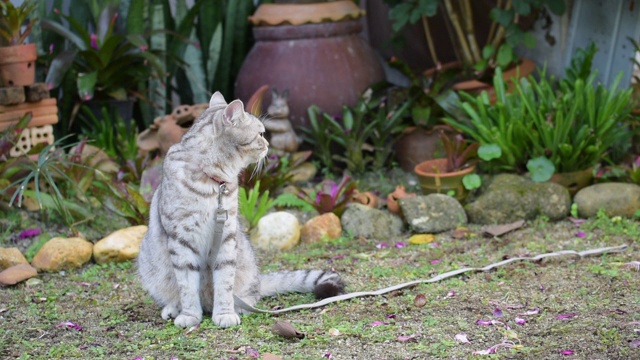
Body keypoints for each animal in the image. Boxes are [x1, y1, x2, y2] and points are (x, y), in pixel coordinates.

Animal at [137, 93, 342, 330]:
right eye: (260, 134)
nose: (268, 144)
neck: (213, 182)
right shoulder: (182, 239)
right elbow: (187, 285)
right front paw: (189, 315)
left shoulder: (227, 236)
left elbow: (225, 281)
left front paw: (225, 313)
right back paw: (174, 308)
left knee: (252, 292)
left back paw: (241, 306)